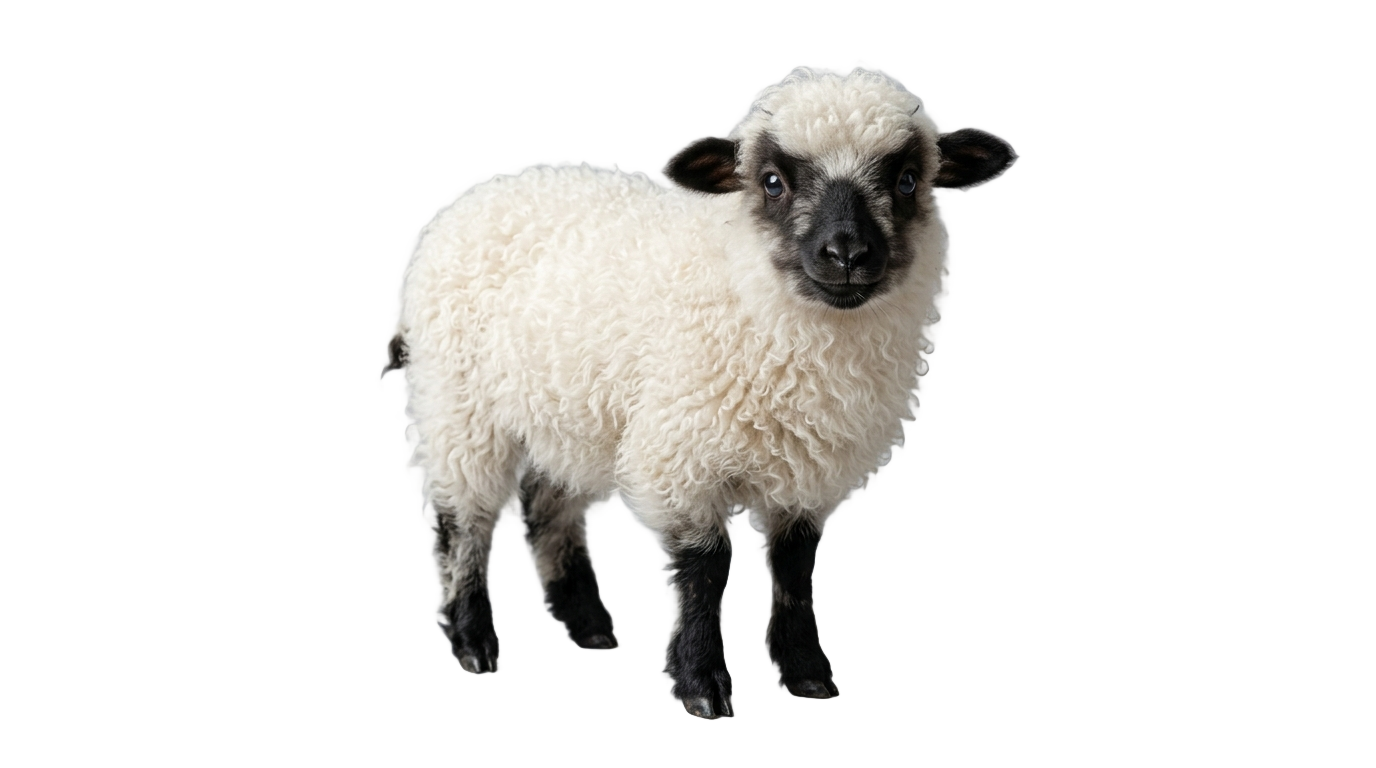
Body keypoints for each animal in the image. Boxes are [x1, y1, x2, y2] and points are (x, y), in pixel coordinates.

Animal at [389, 69, 1011, 716]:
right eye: (772, 182)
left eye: (908, 180)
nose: (846, 254)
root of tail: (488, 193)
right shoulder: (680, 452)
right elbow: (707, 569)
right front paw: (701, 682)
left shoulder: (807, 466)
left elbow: (795, 564)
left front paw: (806, 671)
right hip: (457, 398)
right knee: (463, 517)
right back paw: (472, 638)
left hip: (565, 408)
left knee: (544, 505)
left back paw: (588, 624)